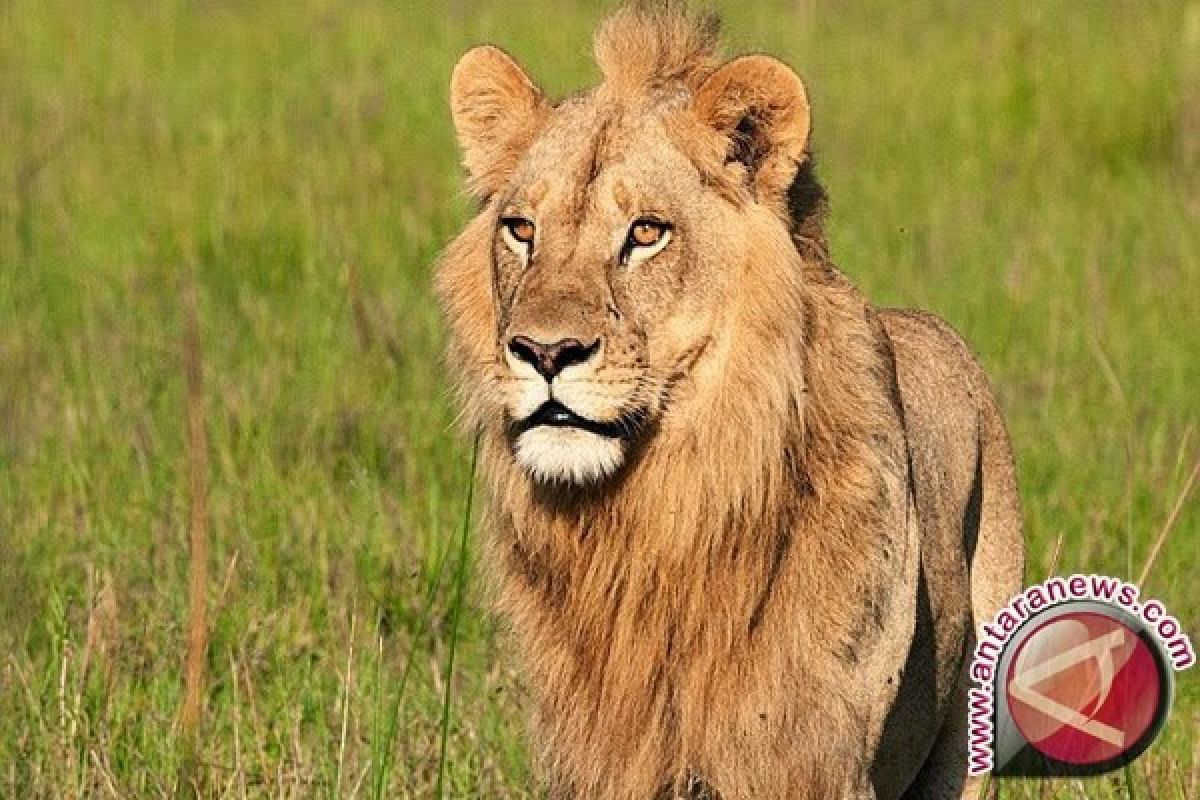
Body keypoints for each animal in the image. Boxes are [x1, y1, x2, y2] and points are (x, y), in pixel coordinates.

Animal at [436, 3, 1027, 796]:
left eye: (646, 233)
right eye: (521, 230)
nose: (545, 353)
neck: (656, 515)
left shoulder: (815, 757)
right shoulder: (604, 754)